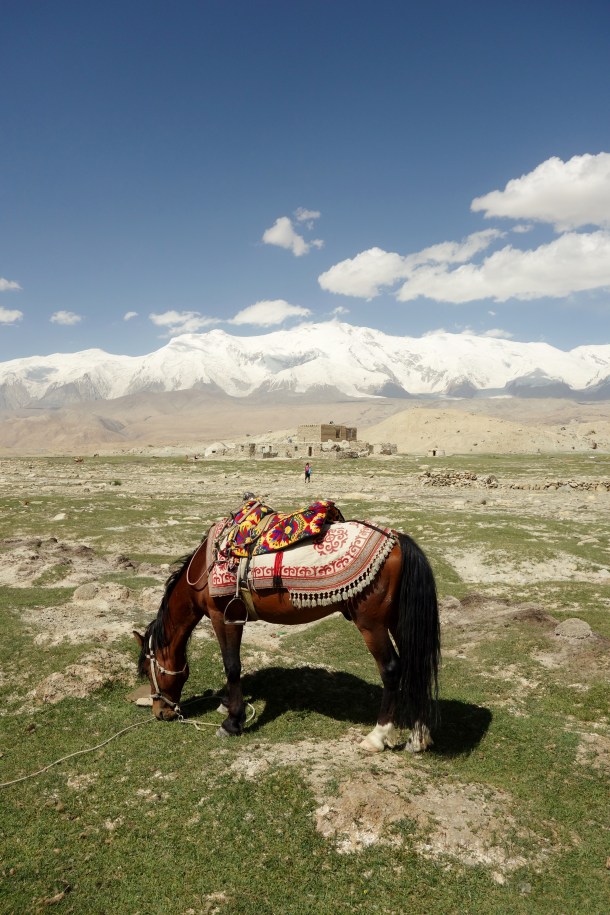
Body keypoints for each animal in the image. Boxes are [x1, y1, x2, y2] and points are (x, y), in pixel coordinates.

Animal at [134, 519, 440, 752]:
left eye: (149, 671)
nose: (161, 712)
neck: (202, 570)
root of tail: (397, 539)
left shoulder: (224, 617)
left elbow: (232, 666)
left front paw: (232, 723)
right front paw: (227, 706)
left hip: (372, 625)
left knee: (391, 669)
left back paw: (376, 737)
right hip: (398, 621)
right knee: (416, 665)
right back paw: (418, 737)